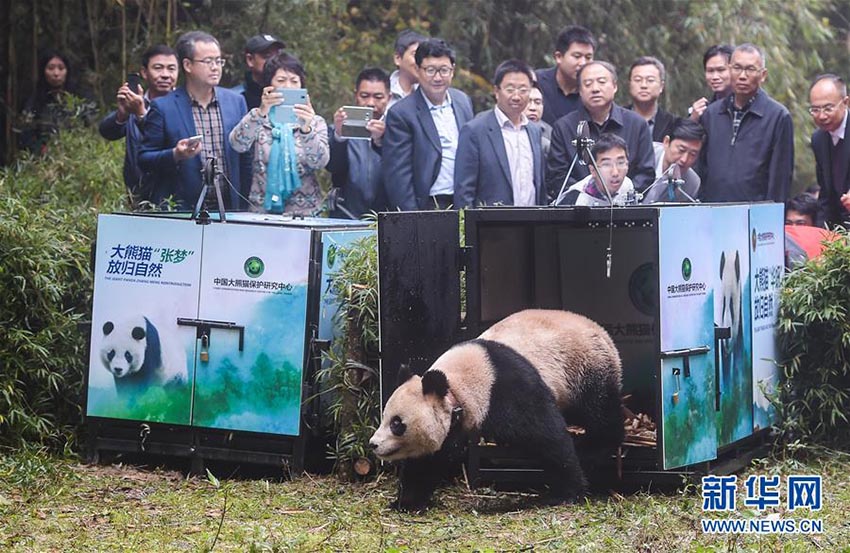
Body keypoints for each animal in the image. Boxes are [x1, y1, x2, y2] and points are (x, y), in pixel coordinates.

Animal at [372, 308, 624, 512]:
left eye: (397, 424)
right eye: (384, 417)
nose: (373, 444)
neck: (455, 385)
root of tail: (601, 330)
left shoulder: (506, 389)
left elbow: (548, 436)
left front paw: (568, 491)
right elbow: (428, 459)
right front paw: (407, 502)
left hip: (585, 369)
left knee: (599, 410)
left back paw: (597, 446)